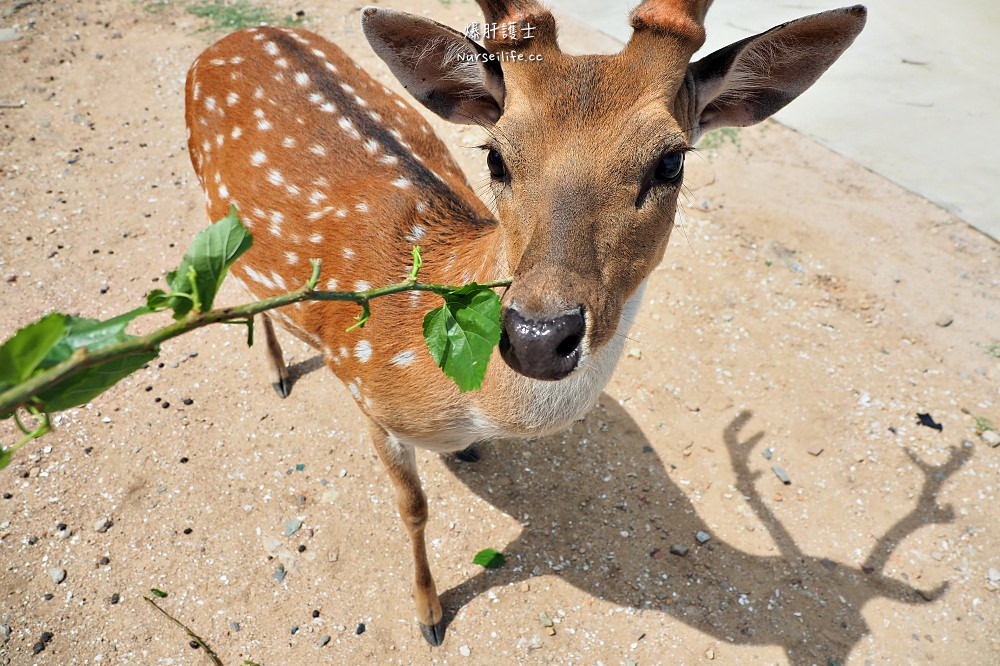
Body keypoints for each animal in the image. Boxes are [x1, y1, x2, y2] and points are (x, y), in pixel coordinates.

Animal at [186, 0, 868, 644]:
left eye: (671, 161)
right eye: (495, 156)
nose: (539, 338)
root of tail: (236, 35)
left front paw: (468, 456)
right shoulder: (366, 391)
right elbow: (413, 508)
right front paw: (429, 614)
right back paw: (277, 373)